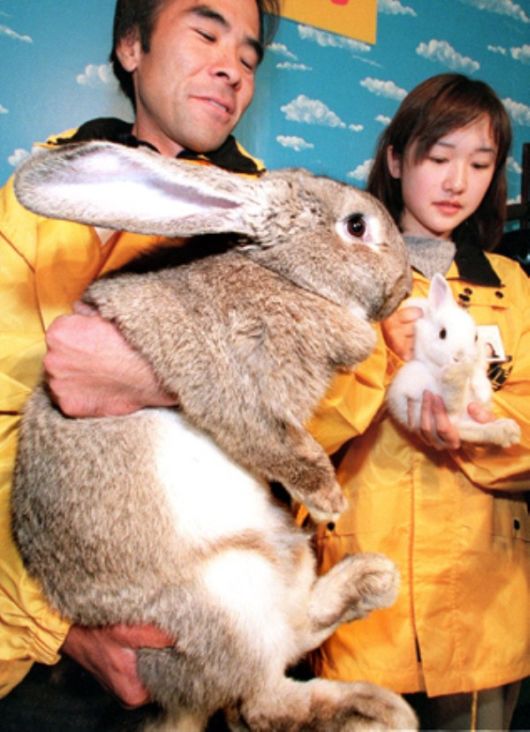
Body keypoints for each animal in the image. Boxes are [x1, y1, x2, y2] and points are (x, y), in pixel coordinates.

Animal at [11, 140, 417, 731]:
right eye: (357, 226)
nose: (404, 287)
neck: (282, 277)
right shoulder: (231, 382)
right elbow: (277, 443)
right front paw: (328, 498)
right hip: (227, 601)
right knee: (261, 703)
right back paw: (377, 708)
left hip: (279, 567)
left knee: (294, 635)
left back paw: (372, 587)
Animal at [386, 272, 520, 447]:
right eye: (442, 333)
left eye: (476, 337)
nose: (459, 358)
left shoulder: (477, 364)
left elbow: (477, 375)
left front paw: (482, 391)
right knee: (451, 408)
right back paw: (455, 378)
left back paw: (507, 431)